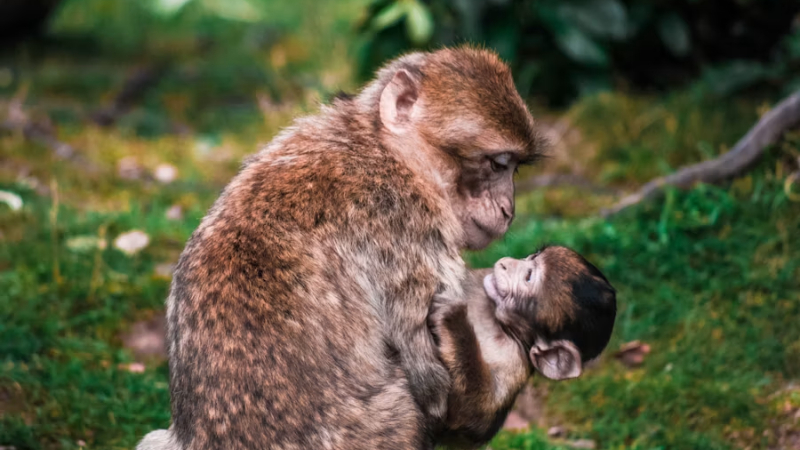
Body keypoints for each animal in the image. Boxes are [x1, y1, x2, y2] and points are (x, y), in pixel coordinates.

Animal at [136, 47, 544, 450]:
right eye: (498, 164)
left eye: (514, 169)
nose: (509, 210)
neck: (384, 152)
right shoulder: (409, 233)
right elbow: (442, 399)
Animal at [429, 245, 617, 449]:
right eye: (531, 257)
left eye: (529, 277)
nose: (506, 263)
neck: (500, 324)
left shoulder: (515, 358)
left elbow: (472, 423)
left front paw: (452, 318)